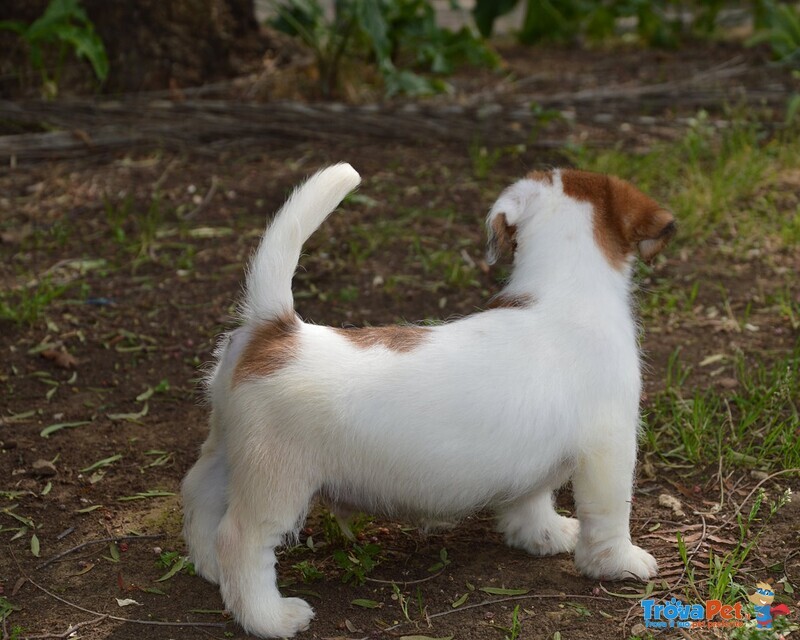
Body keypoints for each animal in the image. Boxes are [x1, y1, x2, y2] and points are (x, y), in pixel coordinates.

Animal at [181, 164, 676, 636]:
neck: (563, 290)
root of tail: (274, 330)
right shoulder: (610, 449)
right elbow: (609, 515)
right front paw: (620, 564)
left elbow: (533, 498)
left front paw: (545, 534)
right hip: (276, 482)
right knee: (241, 540)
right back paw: (269, 618)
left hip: (229, 453)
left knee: (199, 494)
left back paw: (211, 571)